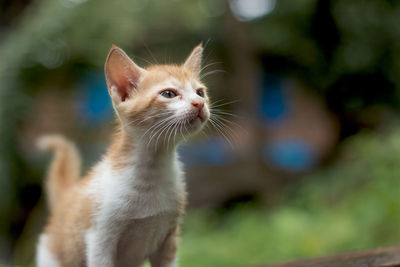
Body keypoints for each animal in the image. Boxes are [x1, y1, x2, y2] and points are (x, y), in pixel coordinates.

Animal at [35, 44, 209, 267]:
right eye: (169, 93)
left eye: (200, 92)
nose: (199, 103)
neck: (152, 171)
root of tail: (67, 194)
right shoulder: (99, 240)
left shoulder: (169, 240)